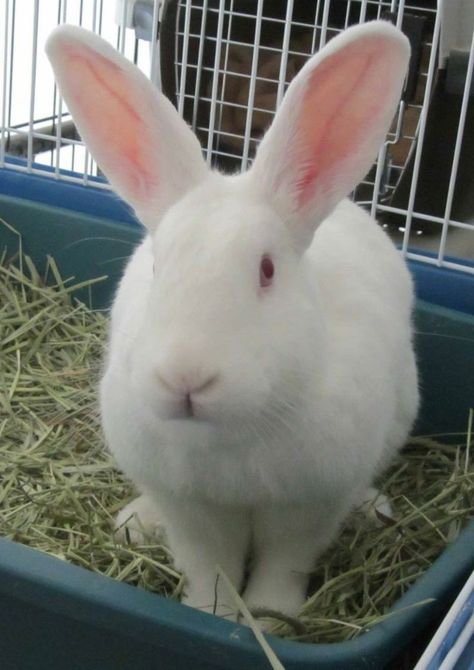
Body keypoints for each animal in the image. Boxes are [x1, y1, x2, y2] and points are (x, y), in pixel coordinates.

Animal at [46, 21, 418, 624]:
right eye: (158, 265)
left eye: (267, 270)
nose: (186, 378)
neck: (227, 437)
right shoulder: (190, 509)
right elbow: (209, 566)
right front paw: (213, 614)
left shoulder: (308, 506)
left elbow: (282, 565)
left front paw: (270, 619)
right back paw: (136, 524)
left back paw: (372, 510)